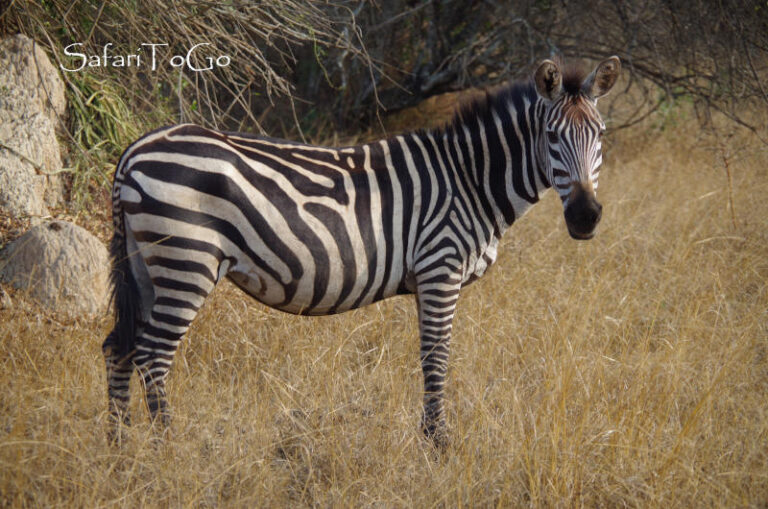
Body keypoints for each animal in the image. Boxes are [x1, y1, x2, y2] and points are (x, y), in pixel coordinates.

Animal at [102, 54, 620, 444]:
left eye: (600, 135)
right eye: (551, 137)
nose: (585, 217)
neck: (468, 179)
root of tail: (134, 151)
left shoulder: (430, 276)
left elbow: (431, 355)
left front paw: (431, 439)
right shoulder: (440, 267)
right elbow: (436, 356)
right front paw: (438, 444)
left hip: (146, 266)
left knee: (118, 349)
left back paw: (120, 450)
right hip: (186, 260)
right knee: (153, 355)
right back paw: (166, 448)